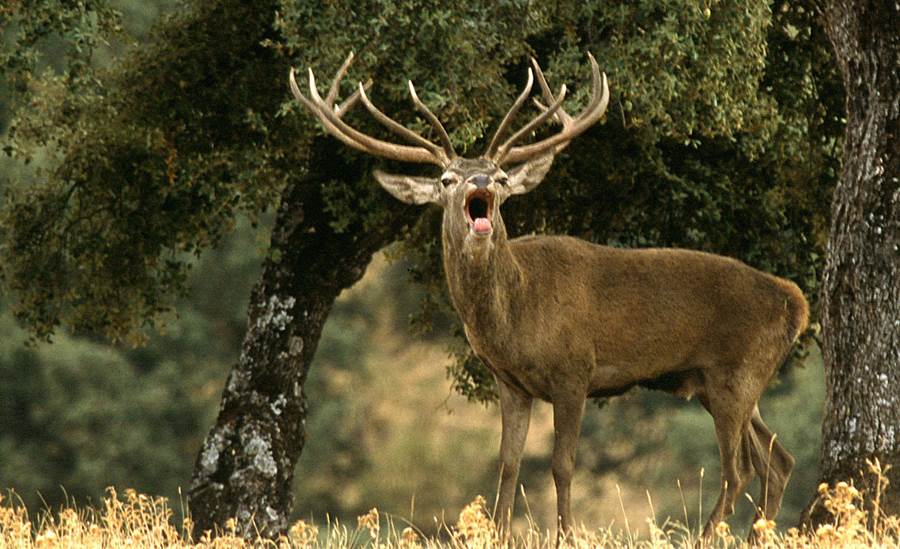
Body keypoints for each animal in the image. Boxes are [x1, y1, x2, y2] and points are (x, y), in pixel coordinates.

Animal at [288, 51, 808, 540]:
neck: (517, 314)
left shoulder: (574, 368)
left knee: (738, 470)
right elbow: (508, 463)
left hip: (735, 372)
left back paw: (708, 535)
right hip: (723, 382)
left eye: (500, 176)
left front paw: (566, 535)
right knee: (777, 461)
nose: (480, 182)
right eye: (447, 179)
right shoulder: (511, 382)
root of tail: (797, 303)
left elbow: (562, 464)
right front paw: (498, 535)